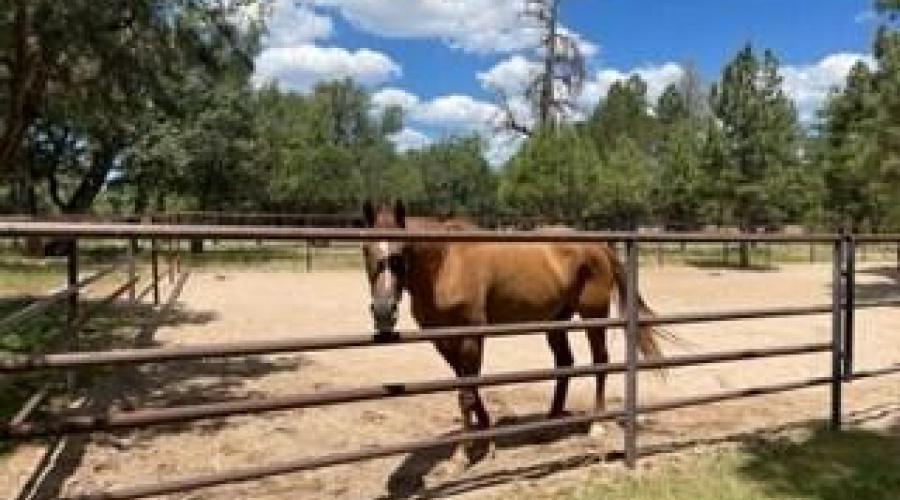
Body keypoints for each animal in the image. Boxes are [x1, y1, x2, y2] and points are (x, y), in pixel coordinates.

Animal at [360, 200, 667, 468]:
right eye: (364, 248)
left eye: (402, 252)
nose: (384, 312)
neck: (446, 264)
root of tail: (599, 245)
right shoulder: (443, 341)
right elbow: (469, 388)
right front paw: (486, 439)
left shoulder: (471, 336)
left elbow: (466, 394)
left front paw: (460, 457)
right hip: (556, 320)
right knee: (564, 362)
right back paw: (550, 422)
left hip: (594, 314)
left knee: (600, 361)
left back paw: (596, 424)